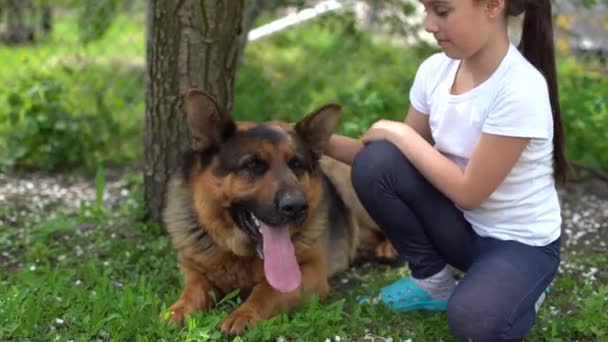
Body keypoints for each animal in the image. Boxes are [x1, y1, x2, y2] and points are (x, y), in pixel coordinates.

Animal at [162, 89, 396, 336]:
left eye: (296, 164)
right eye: (253, 164)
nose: (296, 206)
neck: (239, 256)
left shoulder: (310, 272)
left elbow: (267, 291)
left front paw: (244, 314)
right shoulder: (195, 272)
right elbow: (191, 292)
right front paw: (177, 311)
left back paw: (387, 247)